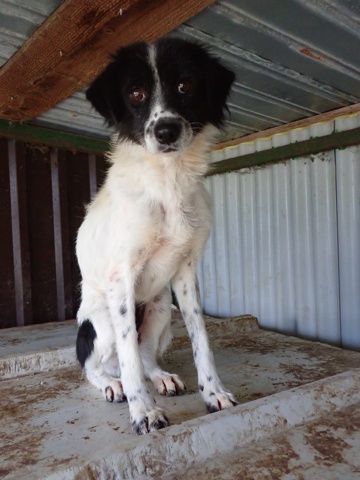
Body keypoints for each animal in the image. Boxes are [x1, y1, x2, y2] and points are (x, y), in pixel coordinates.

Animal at [76, 37, 236, 436]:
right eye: (136, 93)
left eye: (185, 85)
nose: (166, 130)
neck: (168, 180)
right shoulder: (120, 279)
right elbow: (129, 361)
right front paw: (143, 413)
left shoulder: (185, 272)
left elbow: (201, 340)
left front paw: (214, 393)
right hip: (102, 319)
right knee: (97, 365)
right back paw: (112, 384)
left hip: (161, 308)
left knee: (144, 355)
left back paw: (161, 376)